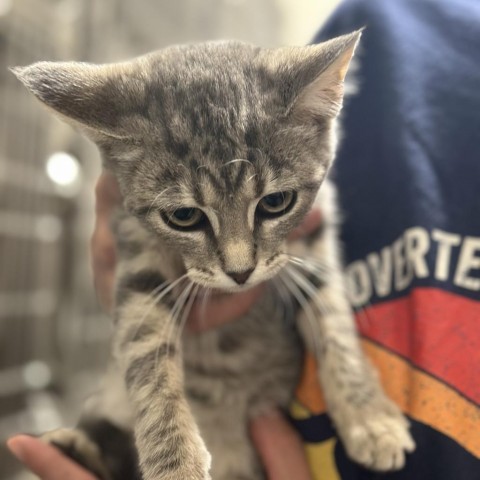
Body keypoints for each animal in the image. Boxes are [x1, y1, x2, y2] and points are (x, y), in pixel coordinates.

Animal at [13, 31, 414, 478]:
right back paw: (78, 446)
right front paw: (174, 460)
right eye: (184, 216)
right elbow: (146, 350)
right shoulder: (135, 248)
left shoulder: (315, 239)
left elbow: (334, 320)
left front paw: (369, 417)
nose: (241, 272)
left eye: (276, 202)